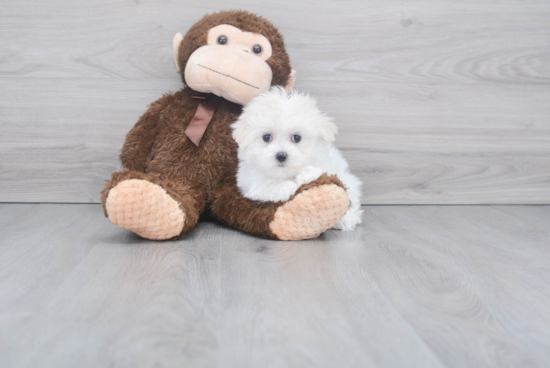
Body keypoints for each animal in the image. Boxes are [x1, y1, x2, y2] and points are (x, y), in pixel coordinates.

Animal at [232, 86, 364, 230]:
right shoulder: (249, 182)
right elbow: (265, 184)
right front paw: (287, 186)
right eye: (266, 137)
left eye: (297, 138)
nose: (281, 155)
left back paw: (346, 219)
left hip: (348, 179)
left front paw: (307, 174)